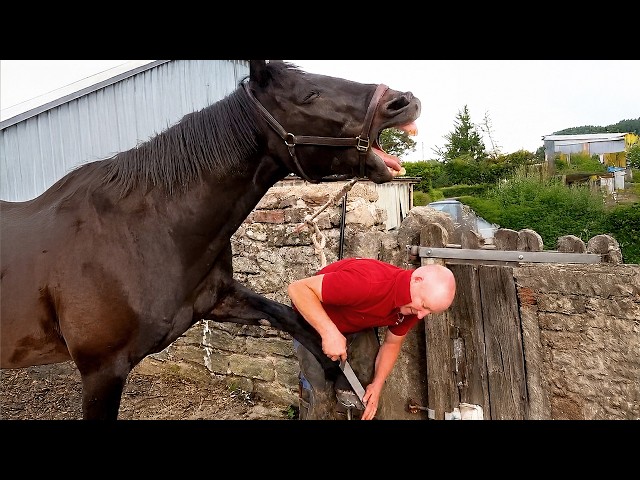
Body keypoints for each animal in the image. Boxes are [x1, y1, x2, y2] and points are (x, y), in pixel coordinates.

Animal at [0, 60, 421, 419]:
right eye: (309, 94)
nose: (404, 102)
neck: (141, 232)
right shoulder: (101, 370)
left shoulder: (217, 299)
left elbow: (298, 322)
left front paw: (344, 380)